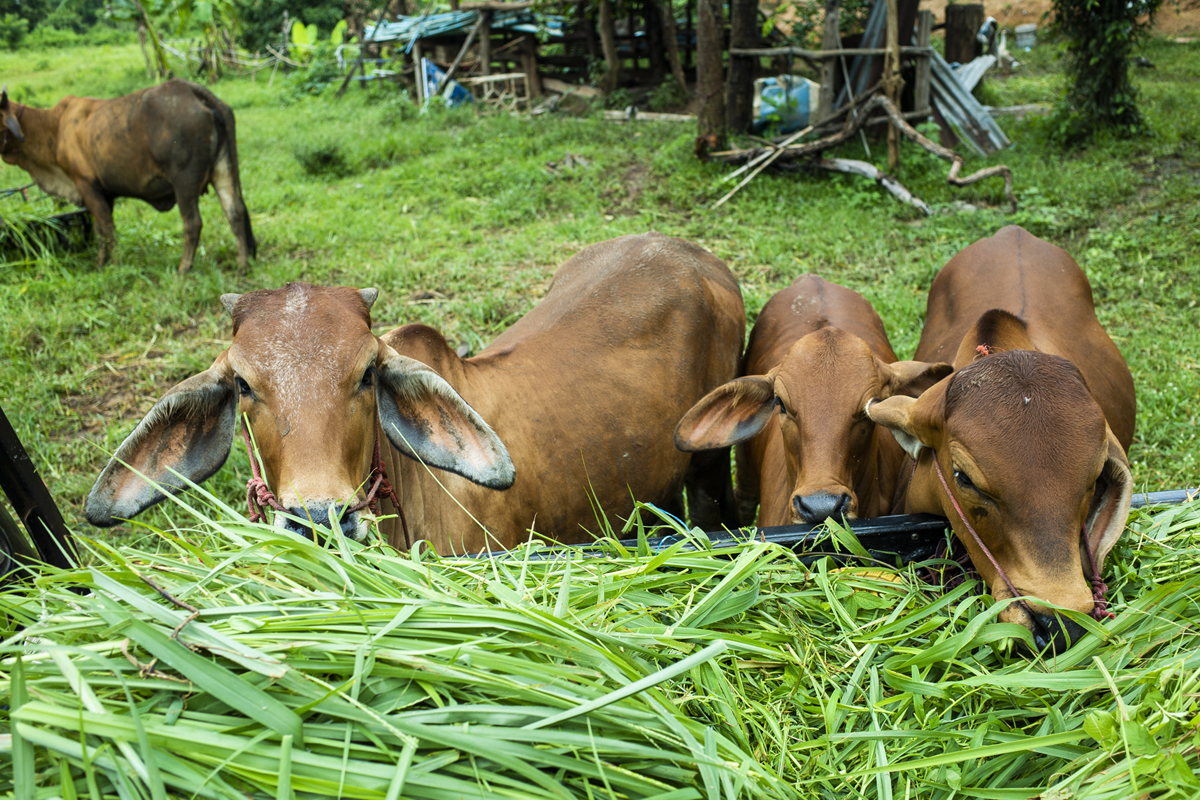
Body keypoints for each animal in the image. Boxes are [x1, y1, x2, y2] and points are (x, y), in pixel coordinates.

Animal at [0, 79, 255, 274]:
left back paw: (184, 268)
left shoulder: (86, 184)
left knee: (193, 222)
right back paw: (243, 265)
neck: (53, 128)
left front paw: (111, 264)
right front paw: (103, 262)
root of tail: (191, 89)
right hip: (222, 169)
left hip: (184, 181)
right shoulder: (105, 192)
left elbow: (106, 228)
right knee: (235, 211)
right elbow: (101, 229)